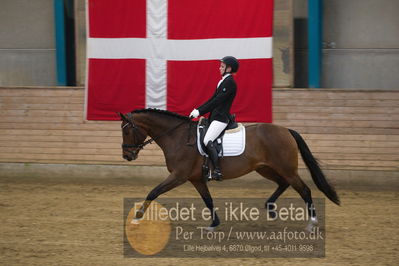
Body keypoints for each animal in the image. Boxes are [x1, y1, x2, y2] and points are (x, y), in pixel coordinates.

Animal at [117, 108, 340, 231]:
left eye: (127, 131)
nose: (127, 156)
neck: (178, 137)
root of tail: (287, 130)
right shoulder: (196, 179)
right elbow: (208, 200)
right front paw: (213, 224)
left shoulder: (179, 176)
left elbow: (153, 192)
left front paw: (137, 218)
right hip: (266, 168)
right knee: (283, 184)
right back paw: (270, 208)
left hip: (286, 168)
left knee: (304, 190)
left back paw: (312, 223)